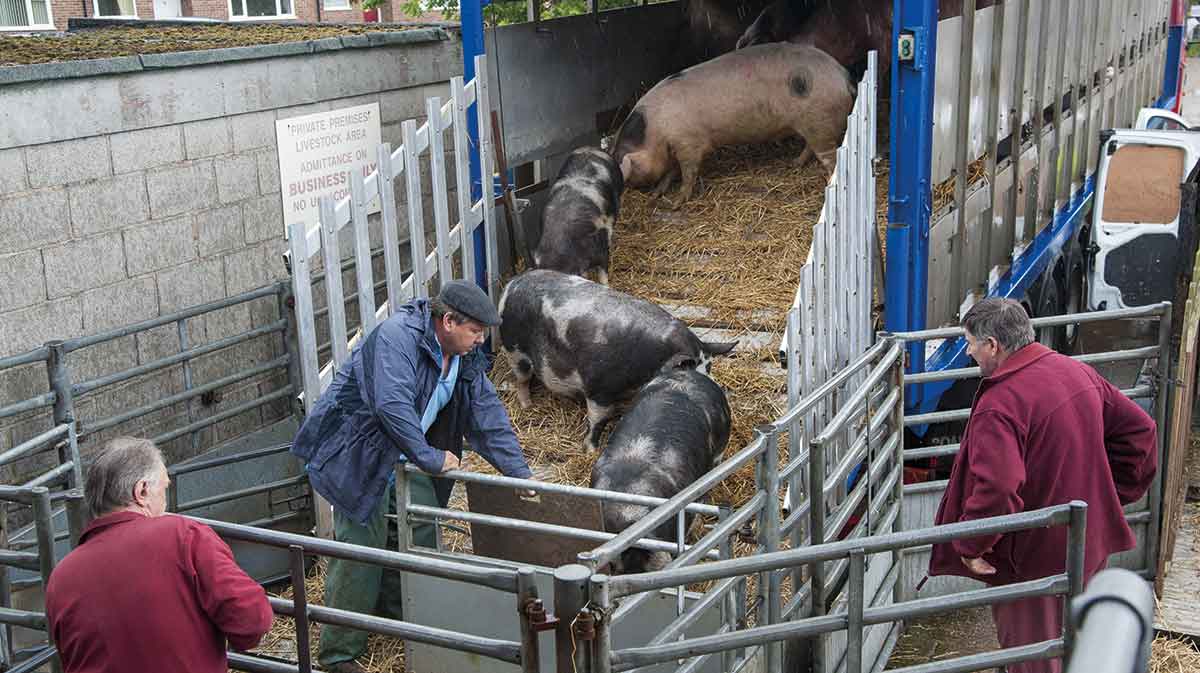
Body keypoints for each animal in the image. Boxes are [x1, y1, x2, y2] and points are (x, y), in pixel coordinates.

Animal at [494, 268, 734, 451]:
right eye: (688, 370)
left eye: (709, 368)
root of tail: (512, 284)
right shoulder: (598, 389)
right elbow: (599, 420)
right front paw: (590, 450)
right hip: (514, 350)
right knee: (521, 379)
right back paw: (527, 406)